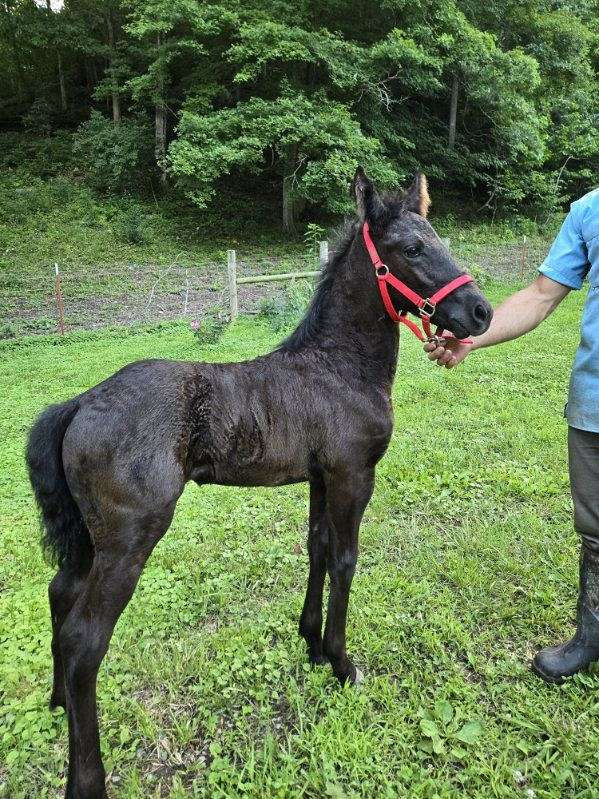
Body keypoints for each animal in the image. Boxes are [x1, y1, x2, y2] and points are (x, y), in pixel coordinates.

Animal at [26, 168, 492, 799]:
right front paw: (342, 663)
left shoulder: (321, 476)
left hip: (88, 540)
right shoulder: (353, 474)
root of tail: (78, 403)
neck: (338, 366)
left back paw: (55, 703)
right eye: (411, 249)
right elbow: (345, 559)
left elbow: (317, 549)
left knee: (59, 595)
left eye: (438, 238)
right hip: (129, 540)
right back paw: (87, 777)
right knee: (84, 640)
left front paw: (311, 643)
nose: (480, 312)